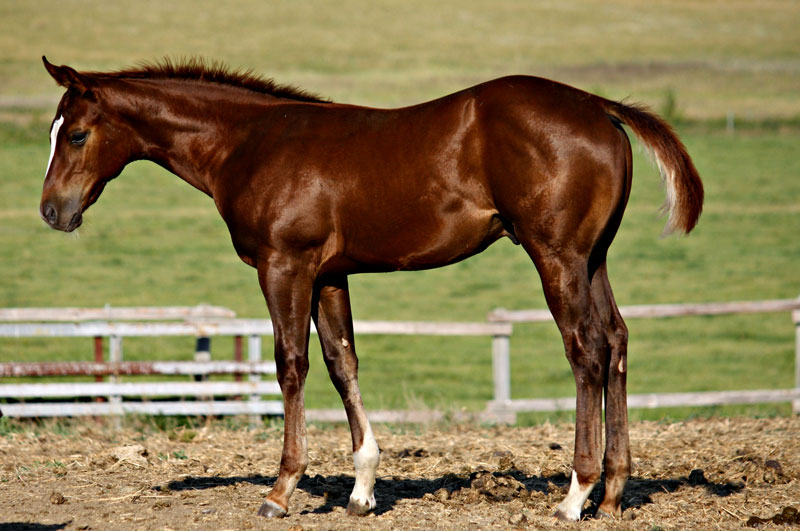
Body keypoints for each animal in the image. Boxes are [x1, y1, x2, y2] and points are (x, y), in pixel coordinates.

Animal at [40, 56, 700, 520]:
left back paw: (574, 495)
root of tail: (598, 106)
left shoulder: (284, 266)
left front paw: (281, 488)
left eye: (75, 135)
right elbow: (343, 364)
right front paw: (361, 488)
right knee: (616, 342)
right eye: (52, 132)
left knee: (586, 351)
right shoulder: (330, 274)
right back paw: (612, 493)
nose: (52, 212)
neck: (251, 143)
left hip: (556, 256)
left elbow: (292, 365)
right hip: (593, 259)